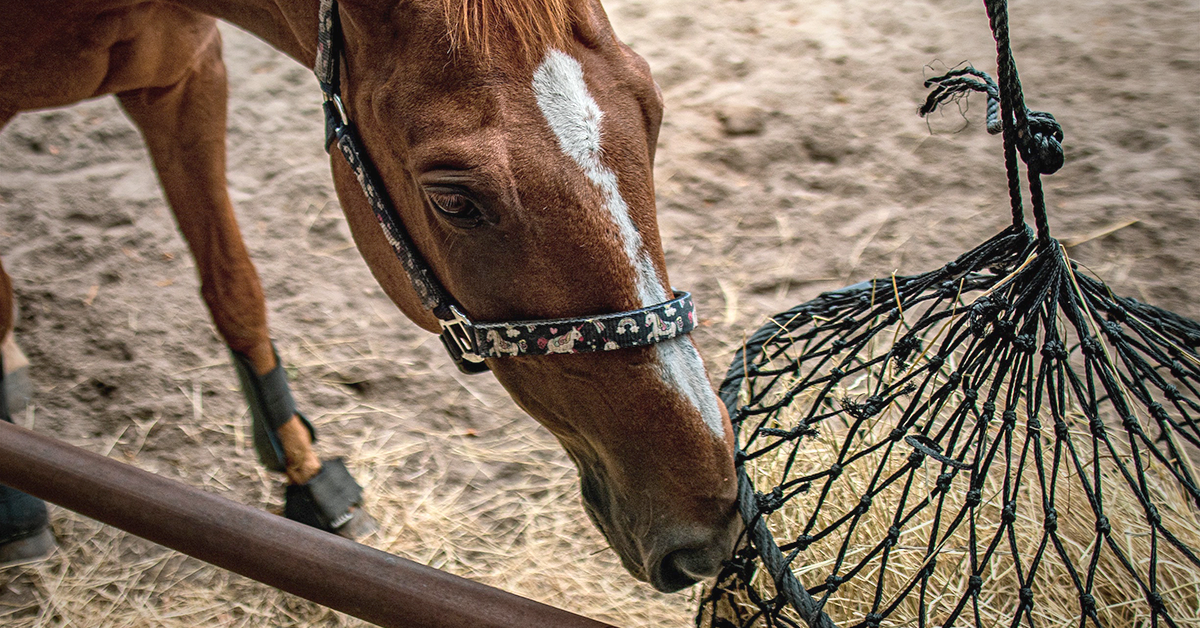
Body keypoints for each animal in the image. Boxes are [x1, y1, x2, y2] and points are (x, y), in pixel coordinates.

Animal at [0, 0, 740, 592]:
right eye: (453, 199)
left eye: (653, 111)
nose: (708, 516)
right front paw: (17, 505)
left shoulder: (186, 79)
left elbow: (235, 289)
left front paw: (305, 475)